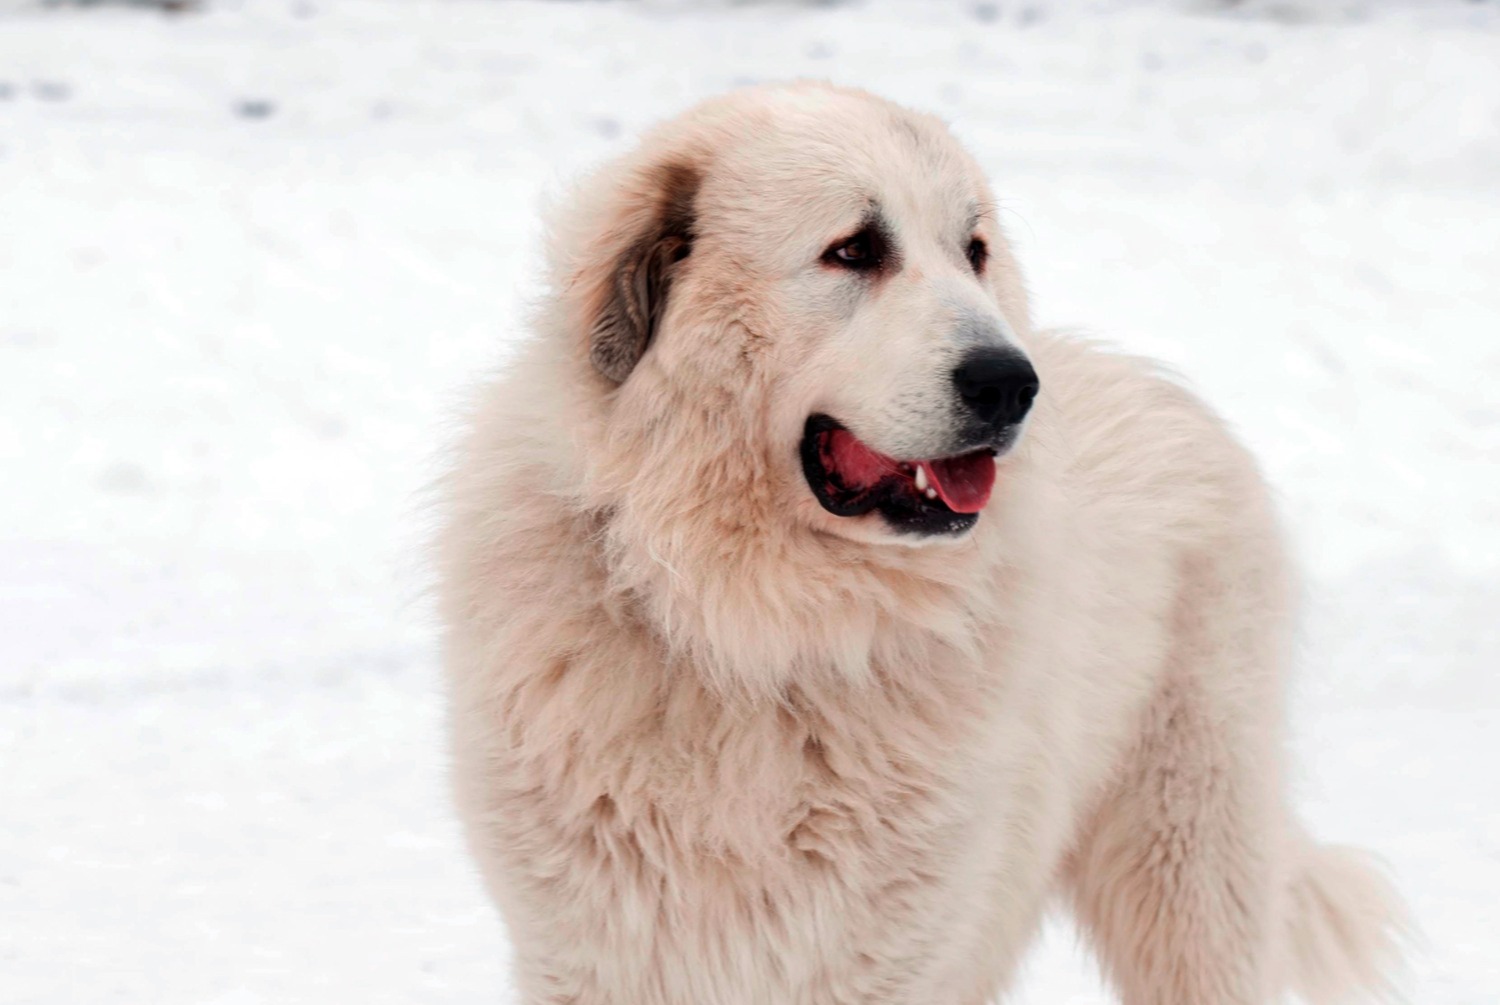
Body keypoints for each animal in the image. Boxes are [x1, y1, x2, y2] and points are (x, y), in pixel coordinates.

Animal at [438, 82, 1404, 1002]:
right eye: (854, 249)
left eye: (973, 251)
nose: (1013, 383)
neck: (750, 632)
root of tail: (1158, 383)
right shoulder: (595, 952)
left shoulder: (892, 954)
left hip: (1187, 865)